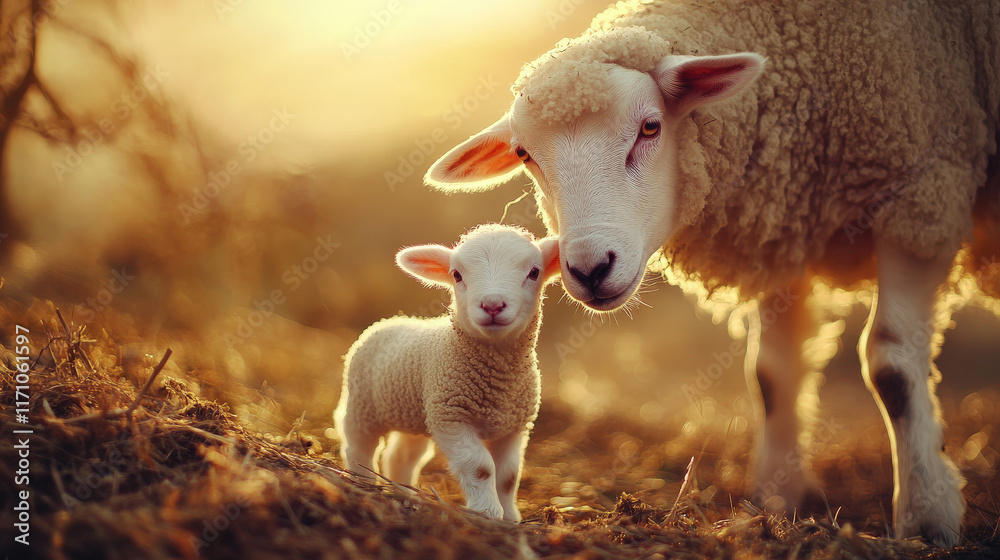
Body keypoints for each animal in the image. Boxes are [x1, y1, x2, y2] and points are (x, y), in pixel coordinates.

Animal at [334, 224, 560, 522]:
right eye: (457, 274)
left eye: (534, 272)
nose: (492, 305)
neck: (498, 378)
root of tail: (388, 320)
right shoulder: (450, 416)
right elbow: (480, 466)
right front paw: (487, 512)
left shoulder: (515, 426)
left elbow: (508, 476)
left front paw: (510, 517)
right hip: (362, 406)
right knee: (359, 447)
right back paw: (364, 482)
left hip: (415, 416)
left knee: (401, 456)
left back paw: (404, 493)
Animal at [423, 0, 999, 547]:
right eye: (525, 154)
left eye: (650, 127)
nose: (590, 269)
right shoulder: (784, 217)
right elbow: (771, 374)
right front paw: (777, 501)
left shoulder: (923, 193)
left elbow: (893, 368)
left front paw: (927, 513)